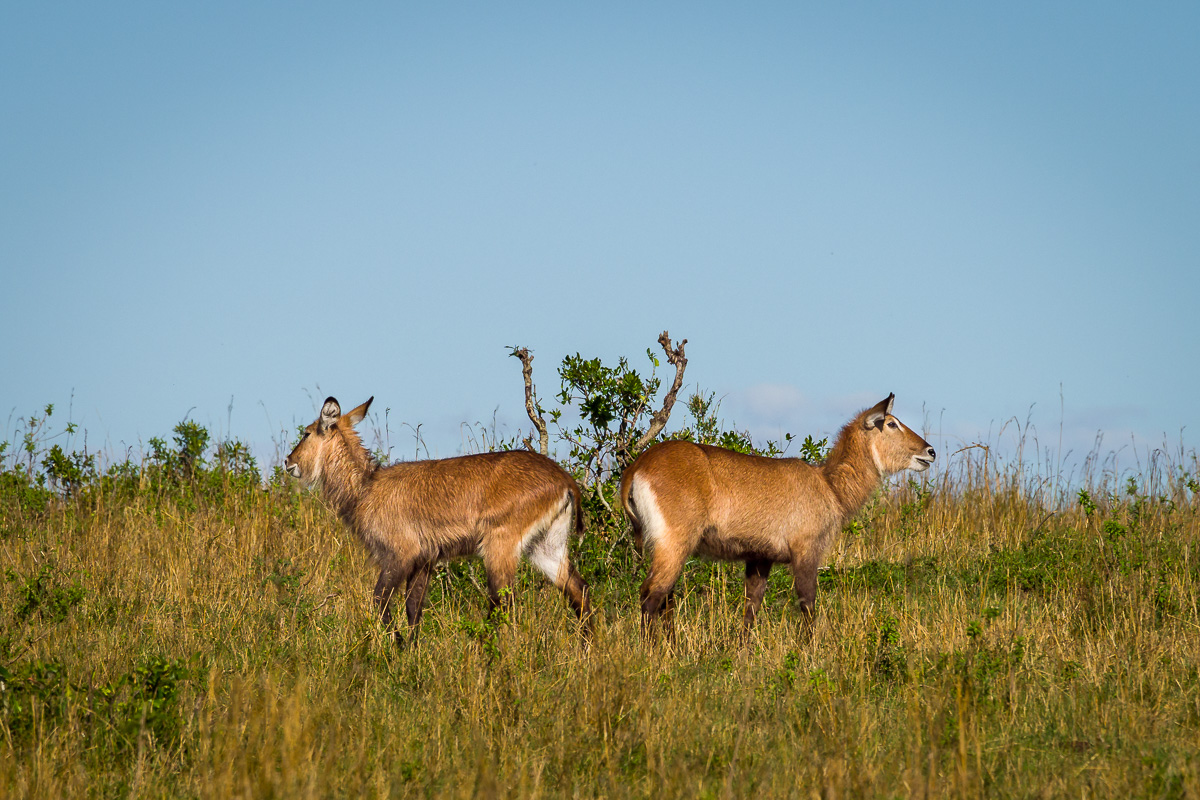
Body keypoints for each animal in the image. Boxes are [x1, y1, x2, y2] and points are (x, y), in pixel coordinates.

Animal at [285, 398, 595, 647]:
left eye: (307, 432)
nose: (289, 462)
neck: (365, 489)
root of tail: (564, 479)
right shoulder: (425, 560)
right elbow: (413, 609)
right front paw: (412, 652)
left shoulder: (400, 554)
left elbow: (380, 600)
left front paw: (399, 645)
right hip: (545, 547)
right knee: (578, 588)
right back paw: (585, 652)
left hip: (500, 545)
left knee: (503, 601)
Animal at [619, 393, 936, 638]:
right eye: (892, 423)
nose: (930, 451)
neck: (830, 487)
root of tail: (637, 466)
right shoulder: (806, 551)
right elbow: (808, 604)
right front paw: (810, 654)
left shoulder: (760, 558)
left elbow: (750, 610)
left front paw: (741, 656)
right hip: (674, 542)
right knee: (651, 596)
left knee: (664, 599)